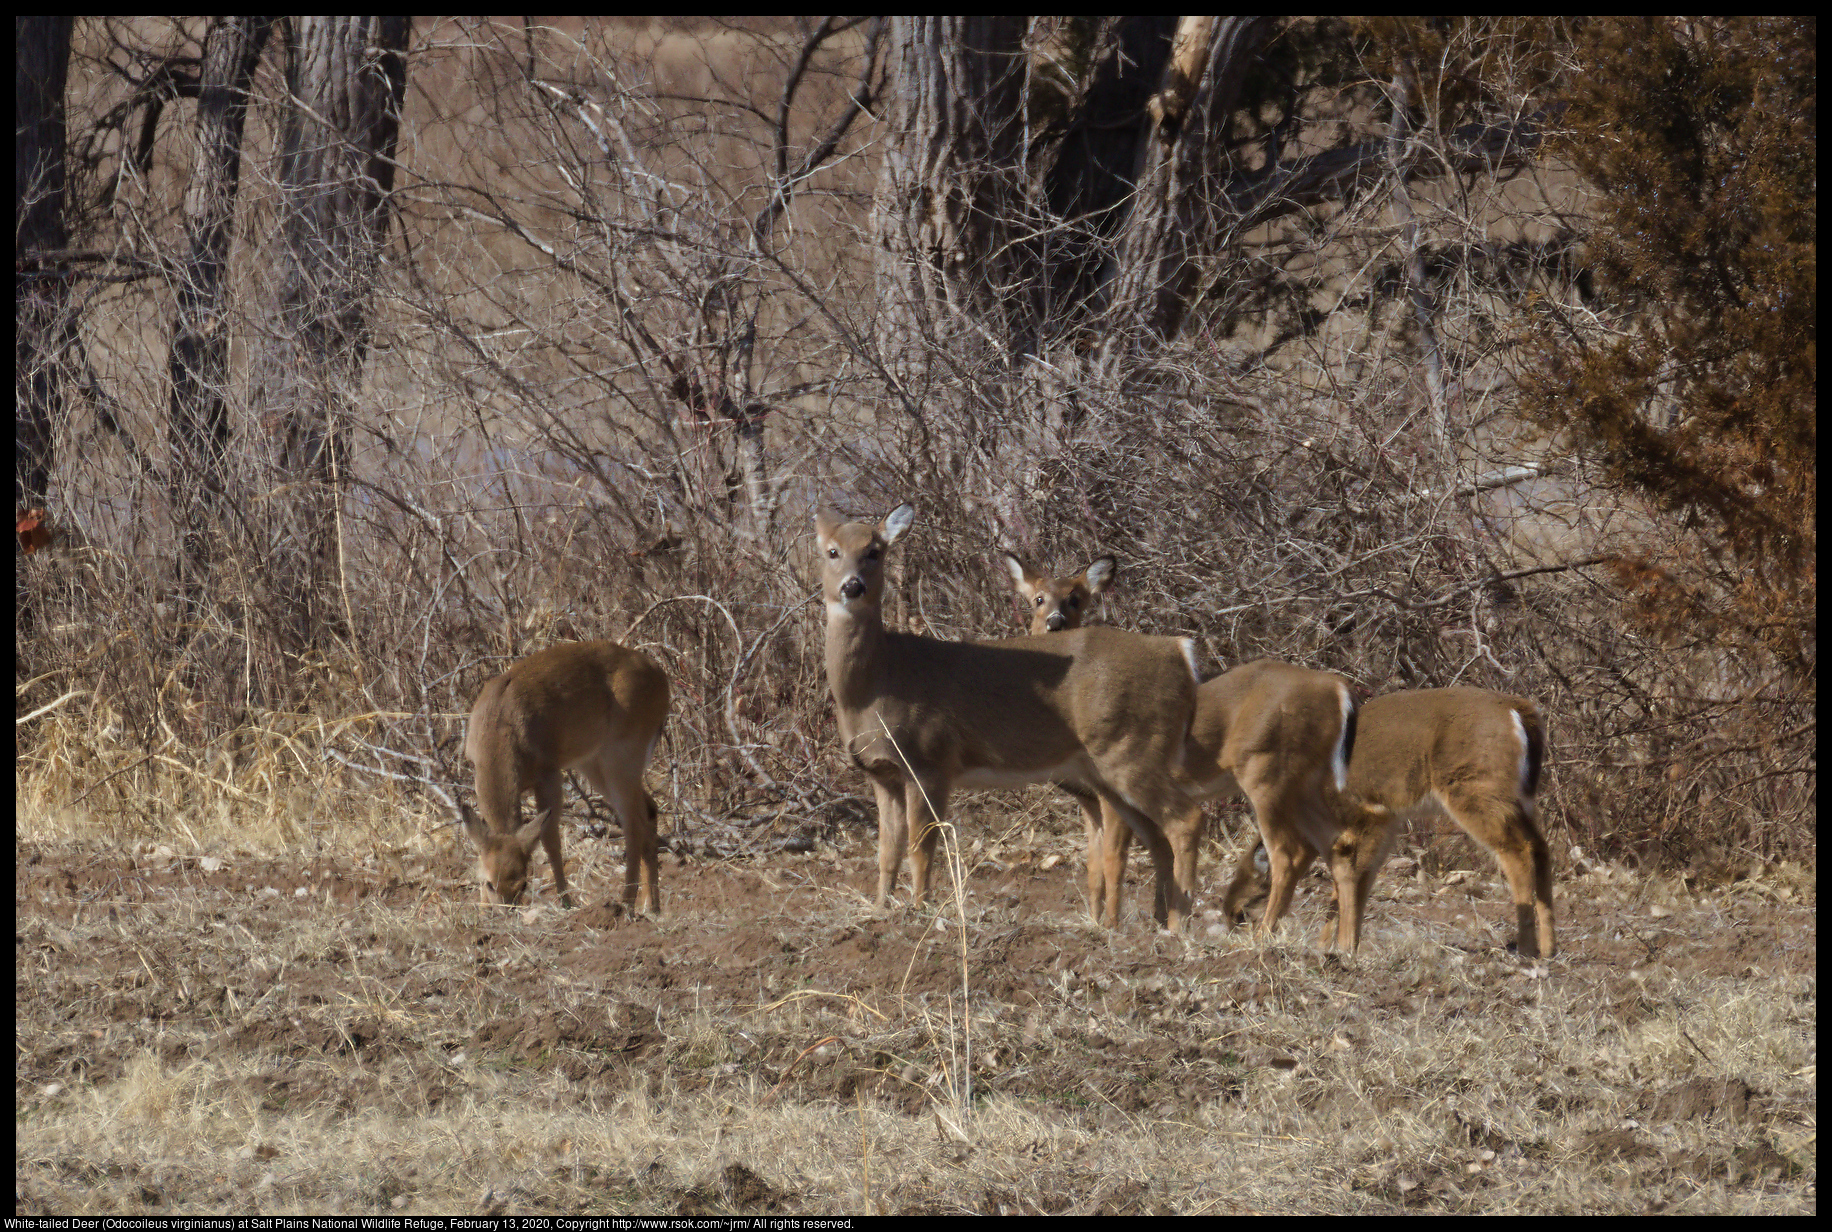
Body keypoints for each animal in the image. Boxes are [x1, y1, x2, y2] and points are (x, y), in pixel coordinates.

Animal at [461, 641, 670, 909]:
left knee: (633, 824)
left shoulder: (549, 772)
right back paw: (652, 907)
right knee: (648, 809)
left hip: (621, 755)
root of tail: (661, 676)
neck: (501, 729)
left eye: (523, 884)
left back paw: (626, 904)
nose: (504, 910)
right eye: (489, 883)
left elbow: (550, 840)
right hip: (593, 763)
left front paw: (566, 903)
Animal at [824, 506, 1209, 924]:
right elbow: (887, 851)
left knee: (1185, 819)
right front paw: (881, 908)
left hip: (1131, 750)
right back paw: (1154, 920)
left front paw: (918, 909)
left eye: (874, 551)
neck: (877, 684)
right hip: (1111, 770)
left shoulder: (929, 761)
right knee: (1155, 836)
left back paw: (1176, 924)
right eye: (831, 550)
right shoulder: (882, 774)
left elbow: (921, 848)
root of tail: (1181, 652)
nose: (852, 586)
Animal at [1223, 689, 1553, 960]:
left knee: (1517, 851)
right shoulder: (1387, 823)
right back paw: (1549, 947)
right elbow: (1357, 880)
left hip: (1475, 789)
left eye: (1253, 891)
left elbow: (1348, 879)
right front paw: (1336, 944)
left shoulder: (1368, 816)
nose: (1229, 914)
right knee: (1540, 847)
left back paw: (1526, 948)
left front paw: (1341, 945)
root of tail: (1517, 709)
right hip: (1518, 798)